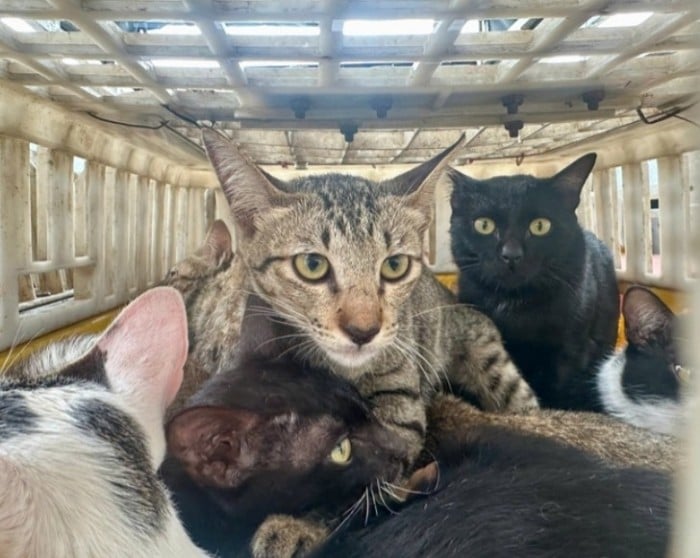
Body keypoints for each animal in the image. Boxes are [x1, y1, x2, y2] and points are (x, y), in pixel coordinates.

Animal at [449, 153, 620, 411]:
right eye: (484, 225)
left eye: (540, 226)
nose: (511, 254)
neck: (515, 302)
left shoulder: (571, 351)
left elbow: (558, 388)